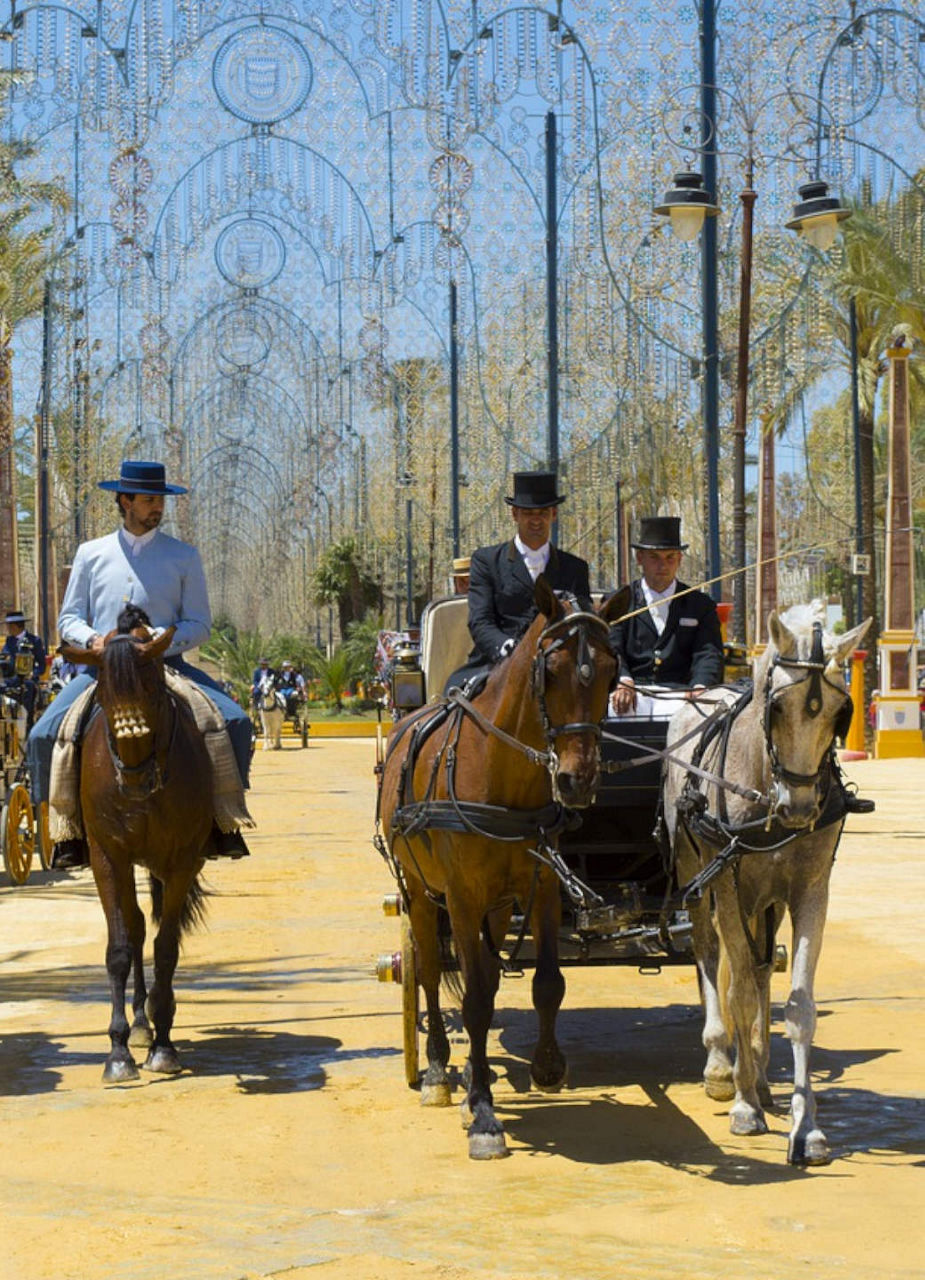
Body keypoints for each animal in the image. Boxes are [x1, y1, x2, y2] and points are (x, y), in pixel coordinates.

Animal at [60, 604, 216, 1085]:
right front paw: (119, 1052)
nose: (133, 777)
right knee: (135, 927)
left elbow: (167, 948)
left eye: (152, 688)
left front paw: (164, 1045)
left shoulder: (182, 860)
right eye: (103, 693)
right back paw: (141, 1024)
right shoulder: (108, 858)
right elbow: (120, 948)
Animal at [376, 581, 629, 1162]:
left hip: (495, 905)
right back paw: (440, 1071)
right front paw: (485, 1115)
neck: (504, 778)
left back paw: (475, 1072)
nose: (578, 780)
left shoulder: (542, 890)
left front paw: (546, 1066)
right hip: (421, 892)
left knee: (486, 976)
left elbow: (547, 983)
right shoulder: (462, 897)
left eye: (611, 671)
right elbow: (473, 998)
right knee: (429, 971)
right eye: (550, 670)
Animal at [660, 604, 869, 1167]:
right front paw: (743, 1104)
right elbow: (738, 993)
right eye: (776, 707)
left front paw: (806, 1126)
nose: (799, 808)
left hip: (765, 900)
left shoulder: (810, 890)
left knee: (757, 968)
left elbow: (796, 1004)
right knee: (711, 955)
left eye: (839, 711)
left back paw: (756, 1068)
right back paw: (722, 1065)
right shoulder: (728, 887)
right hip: (697, 877)